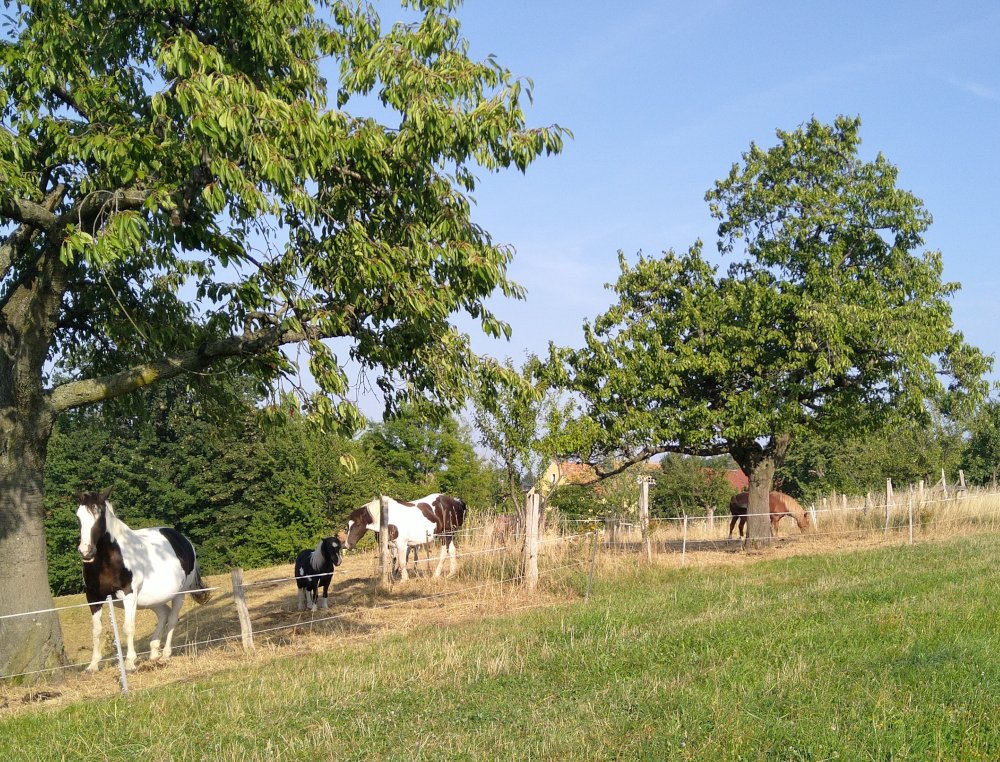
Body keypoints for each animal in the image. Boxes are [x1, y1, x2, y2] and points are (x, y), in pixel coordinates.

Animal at [74, 490, 211, 668]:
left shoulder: (129, 595)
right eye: (78, 517)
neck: (110, 560)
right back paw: (153, 652)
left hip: (179, 594)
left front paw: (130, 662)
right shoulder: (93, 597)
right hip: (152, 600)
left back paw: (165, 655)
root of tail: (183, 540)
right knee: (164, 614)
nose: (86, 551)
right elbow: (97, 629)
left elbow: (128, 627)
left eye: (100, 516)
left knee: (172, 619)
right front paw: (93, 665)